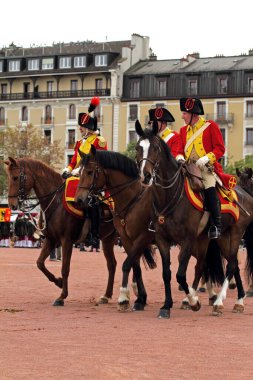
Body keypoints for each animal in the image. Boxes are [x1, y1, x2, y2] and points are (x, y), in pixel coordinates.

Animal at [4, 157, 117, 306]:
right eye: (9, 177)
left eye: (16, 177)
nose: (12, 204)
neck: (56, 203)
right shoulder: (51, 240)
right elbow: (40, 263)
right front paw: (58, 282)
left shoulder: (66, 240)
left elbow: (65, 268)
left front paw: (62, 296)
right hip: (108, 239)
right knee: (112, 264)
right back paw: (107, 295)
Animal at [74, 148, 157, 312]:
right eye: (80, 171)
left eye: (90, 172)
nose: (79, 200)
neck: (132, 200)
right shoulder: (127, 239)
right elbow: (134, 265)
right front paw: (139, 299)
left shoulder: (141, 237)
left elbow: (129, 264)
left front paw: (125, 298)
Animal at [136, 121, 253, 318]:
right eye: (138, 147)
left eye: (155, 148)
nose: (145, 176)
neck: (170, 195)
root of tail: (245, 194)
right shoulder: (162, 239)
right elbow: (167, 273)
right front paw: (167, 306)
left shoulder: (188, 239)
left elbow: (180, 274)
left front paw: (194, 301)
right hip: (219, 237)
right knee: (227, 264)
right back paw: (237, 300)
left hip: (236, 234)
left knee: (230, 265)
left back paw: (220, 302)